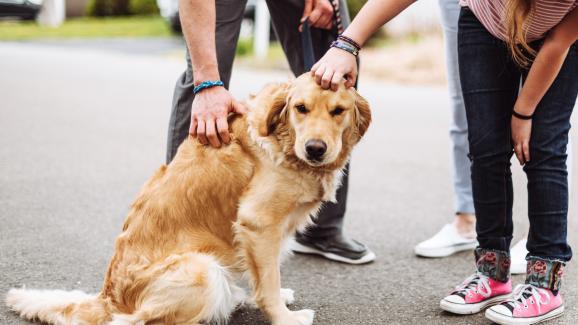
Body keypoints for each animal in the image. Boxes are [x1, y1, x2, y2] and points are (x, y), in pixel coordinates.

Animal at [4, 73, 372, 324]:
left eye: (338, 111)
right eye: (301, 108)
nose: (315, 149)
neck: (282, 141)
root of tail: (108, 297)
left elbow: (265, 274)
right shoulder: (259, 222)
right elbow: (267, 279)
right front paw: (284, 317)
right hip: (200, 269)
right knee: (137, 321)